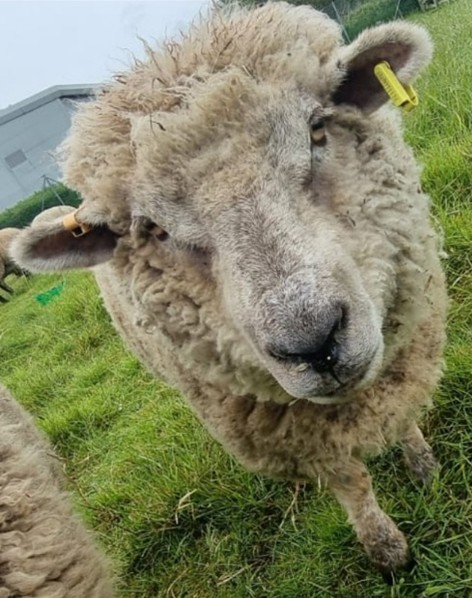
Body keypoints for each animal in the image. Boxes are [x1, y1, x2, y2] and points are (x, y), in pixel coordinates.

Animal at [11, 2, 448, 574]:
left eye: (317, 129)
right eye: (153, 229)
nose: (314, 344)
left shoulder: (401, 348)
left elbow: (402, 417)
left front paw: (424, 468)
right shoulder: (298, 432)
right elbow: (349, 481)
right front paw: (387, 548)